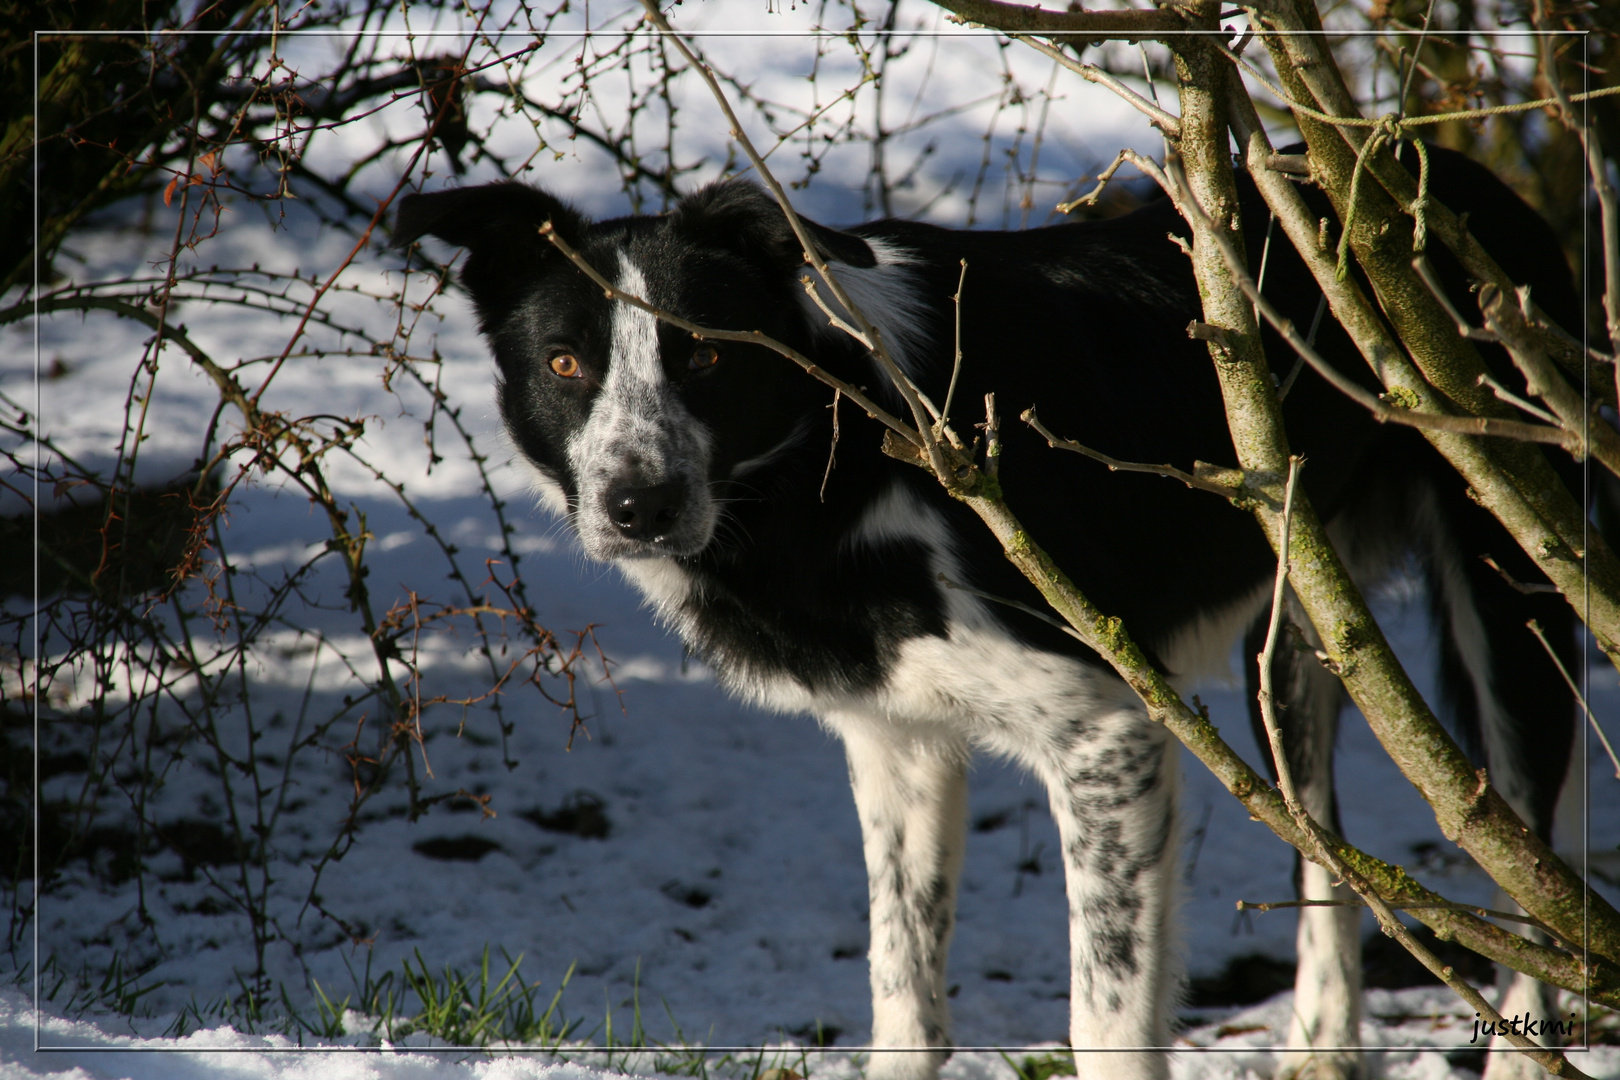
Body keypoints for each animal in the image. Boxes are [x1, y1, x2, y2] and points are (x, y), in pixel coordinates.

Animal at [398, 145, 1574, 1080]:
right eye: (566, 363)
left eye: (710, 356)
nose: (637, 506)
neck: (843, 451)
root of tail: (1441, 174)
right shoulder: (899, 743)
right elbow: (903, 992)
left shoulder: (1109, 738)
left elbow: (1106, 1020)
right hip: (1301, 638)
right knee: (1326, 850)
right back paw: (1324, 1053)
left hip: (1513, 590)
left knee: (1535, 866)